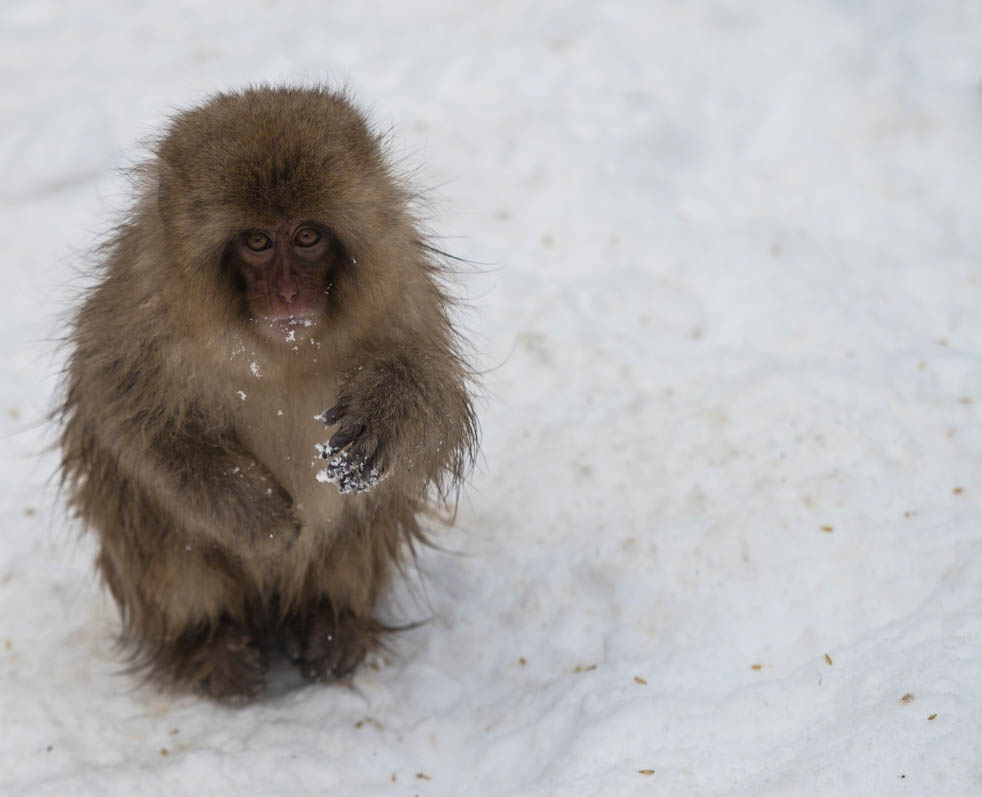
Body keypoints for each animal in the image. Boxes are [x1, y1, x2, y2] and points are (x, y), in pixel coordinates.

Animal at [58, 86, 478, 701]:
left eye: (307, 236)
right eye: (256, 242)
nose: (286, 293)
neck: (278, 345)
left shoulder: (403, 289)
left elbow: (441, 401)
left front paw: (389, 415)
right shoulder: (141, 310)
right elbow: (124, 417)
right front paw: (253, 513)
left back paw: (331, 622)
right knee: (153, 524)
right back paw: (207, 644)